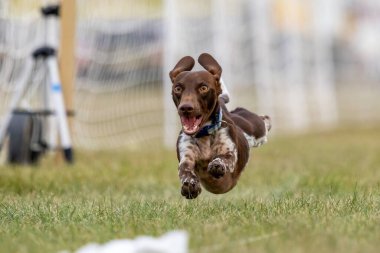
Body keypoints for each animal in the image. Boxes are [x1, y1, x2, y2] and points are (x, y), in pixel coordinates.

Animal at [169, 53, 270, 200]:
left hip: (255, 128)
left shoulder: (230, 152)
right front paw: (190, 184)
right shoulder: (186, 156)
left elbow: (224, 158)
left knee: (264, 121)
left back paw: (267, 121)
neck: (204, 133)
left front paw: (217, 164)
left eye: (203, 88)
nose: (186, 108)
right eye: (178, 88)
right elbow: (185, 171)